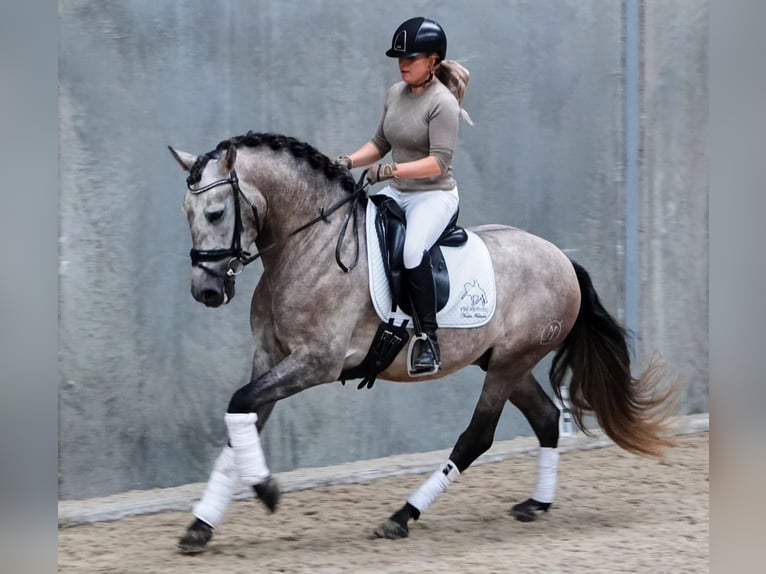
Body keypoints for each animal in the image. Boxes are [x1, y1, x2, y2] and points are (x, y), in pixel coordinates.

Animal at [168, 131, 676, 553]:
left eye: (215, 213)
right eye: (186, 214)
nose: (206, 292)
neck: (310, 246)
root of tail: (563, 260)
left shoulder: (315, 363)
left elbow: (240, 405)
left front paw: (267, 491)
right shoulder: (269, 357)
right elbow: (242, 419)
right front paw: (201, 525)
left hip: (510, 363)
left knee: (476, 438)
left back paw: (401, 516)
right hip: (502, 361)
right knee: (547, 418)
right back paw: (536, 504)